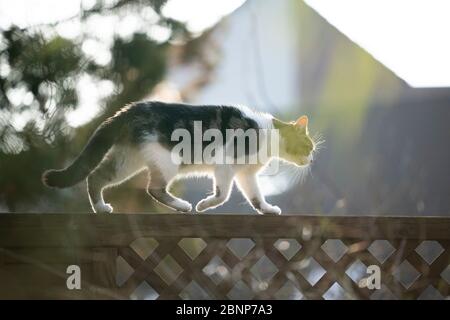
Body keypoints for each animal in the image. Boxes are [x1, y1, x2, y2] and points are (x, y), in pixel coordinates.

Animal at [43, 101, 316, 214]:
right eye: (308, 146)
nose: (311, 160)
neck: (268, 133)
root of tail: (130, 109)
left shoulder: (245, 174)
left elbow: (256, 197)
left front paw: (267, 210)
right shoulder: (226, 165)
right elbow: (222, 195)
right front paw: (204, 205)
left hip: (127, 161)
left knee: (96, 177)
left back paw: (100, 207)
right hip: (167, 162)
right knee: (153, 189)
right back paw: (183, 206)